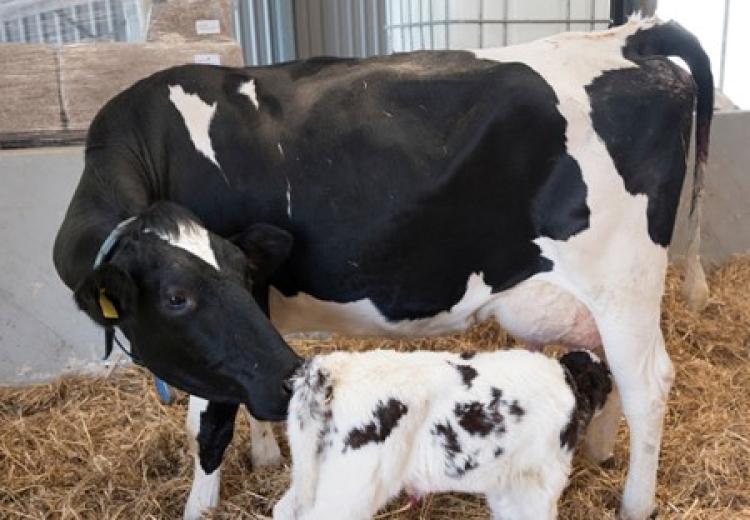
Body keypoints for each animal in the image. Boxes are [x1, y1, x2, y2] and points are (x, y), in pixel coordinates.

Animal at [275, 349, 613, 520]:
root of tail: (333, 368)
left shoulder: (506, 480)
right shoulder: (540, 478)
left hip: (310, 471)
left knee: (285, 510)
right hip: (353, 485)